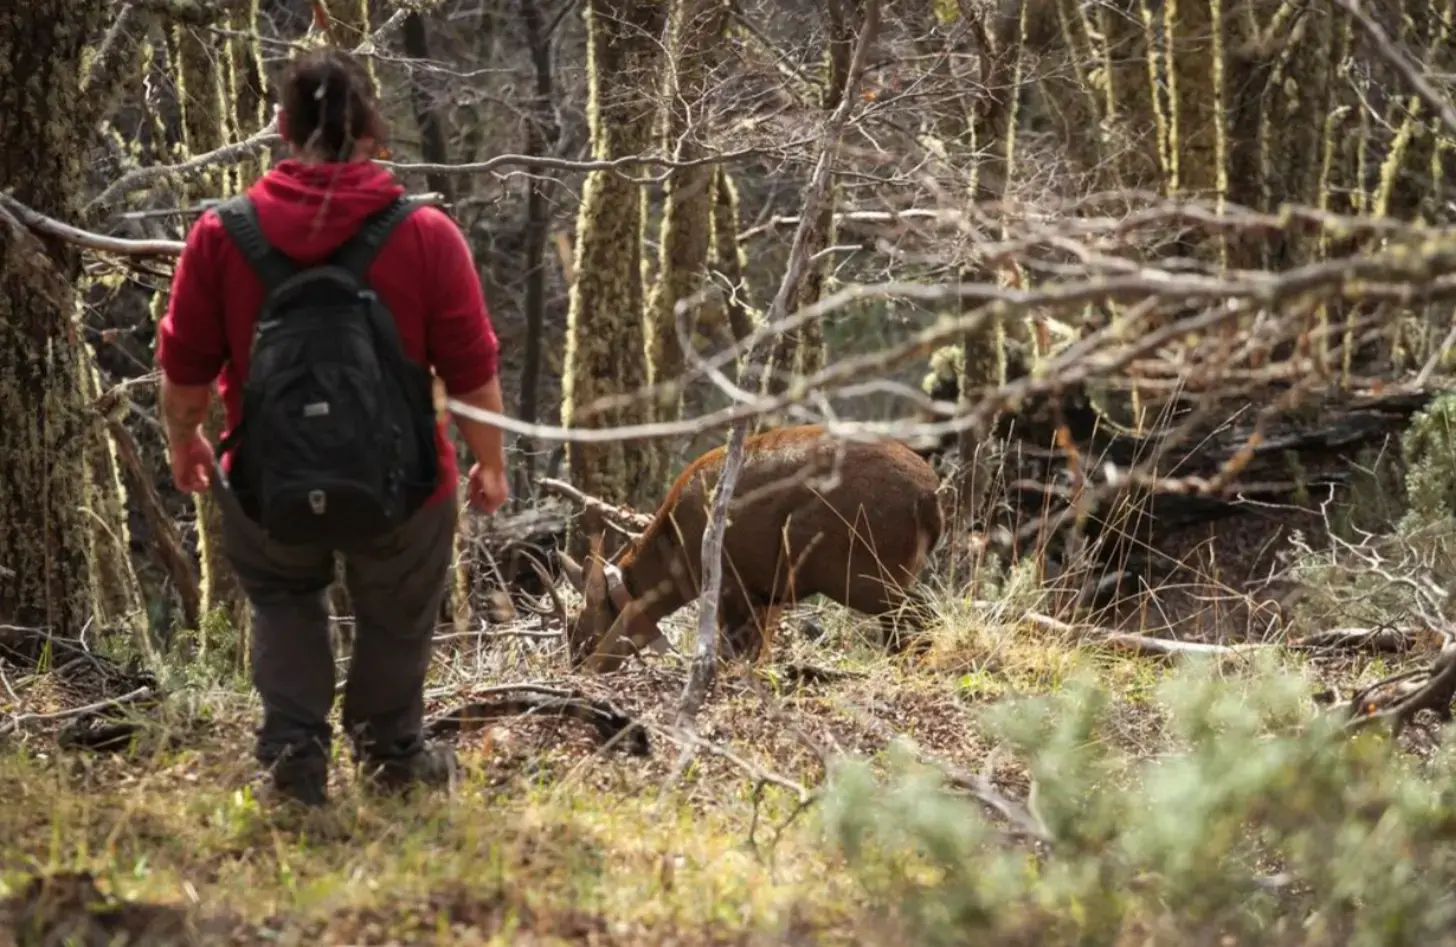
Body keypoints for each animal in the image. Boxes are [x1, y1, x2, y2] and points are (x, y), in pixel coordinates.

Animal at [553, 424, 946, 673]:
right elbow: (757, 653)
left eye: (582, 632)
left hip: (855, 567)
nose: (578, 668)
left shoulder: (732, 583)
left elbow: (731, 653)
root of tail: (929, 499)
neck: (675, 558)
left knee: (920, 615)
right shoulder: (767, 593)